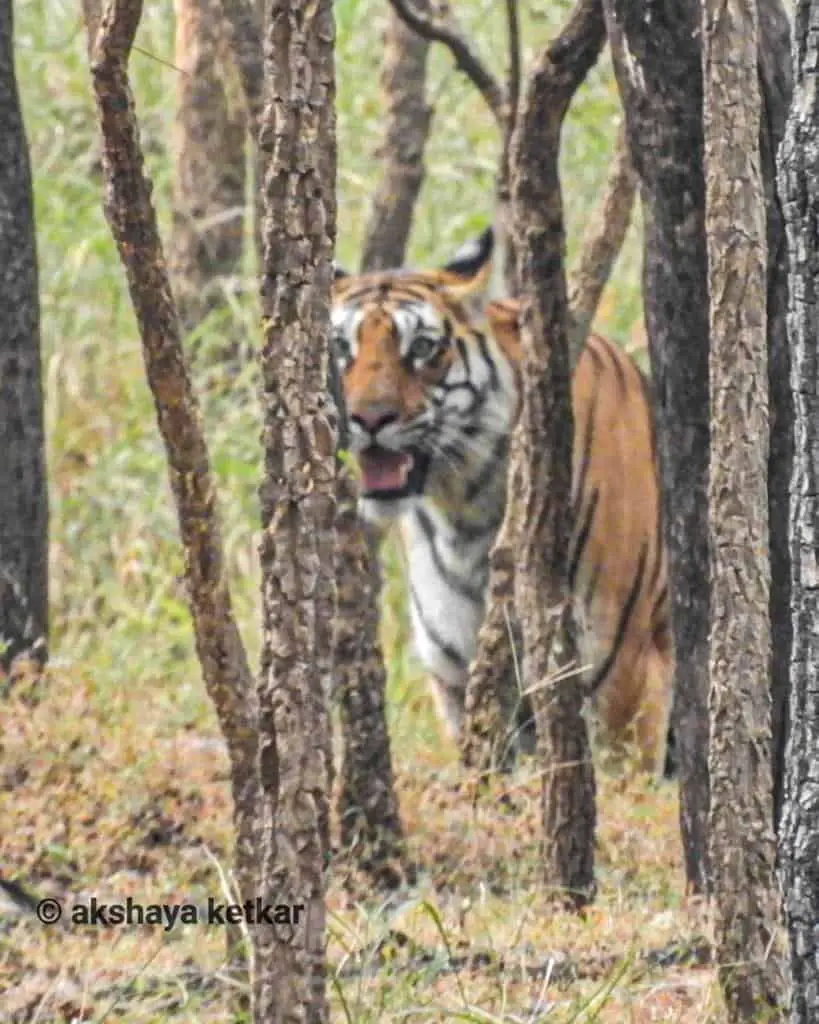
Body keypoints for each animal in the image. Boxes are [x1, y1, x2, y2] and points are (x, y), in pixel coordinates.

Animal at [329, 230, 675, 774]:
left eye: (422, 348)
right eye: (342, 348)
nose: (366, 418)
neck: (467, 511)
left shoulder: (627, 678)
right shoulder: (459, 678)